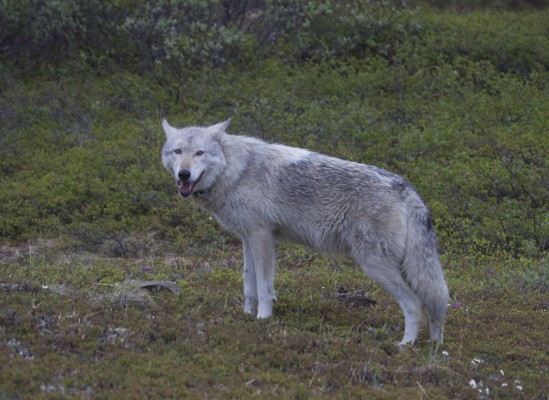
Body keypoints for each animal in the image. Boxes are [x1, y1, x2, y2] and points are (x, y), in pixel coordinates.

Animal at [161, 118, 448, 344]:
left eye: (199, 153)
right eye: (178, 151)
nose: (184, 174)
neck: (235, 170)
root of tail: (406, 188)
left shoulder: (262, 236)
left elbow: (263, 287)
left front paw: (263, 318)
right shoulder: (247, 237)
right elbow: (249, 282)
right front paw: (246, 315)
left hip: (375, 265)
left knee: (415, 304)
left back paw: (405, 345)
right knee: (434, 305)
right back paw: (434, 345)